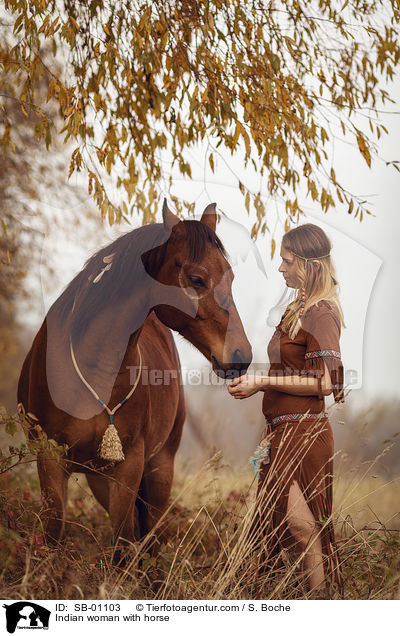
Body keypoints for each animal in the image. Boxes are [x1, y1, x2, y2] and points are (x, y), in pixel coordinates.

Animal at [18, 200, 253, 556]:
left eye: (231, 275)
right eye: (196, 278)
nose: (241, 355)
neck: (93, 370)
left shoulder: (129, 467)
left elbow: (123, 541)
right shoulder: (50, 459)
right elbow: (54, 533)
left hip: (159, 468)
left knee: (151, 532)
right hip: (99, 476)